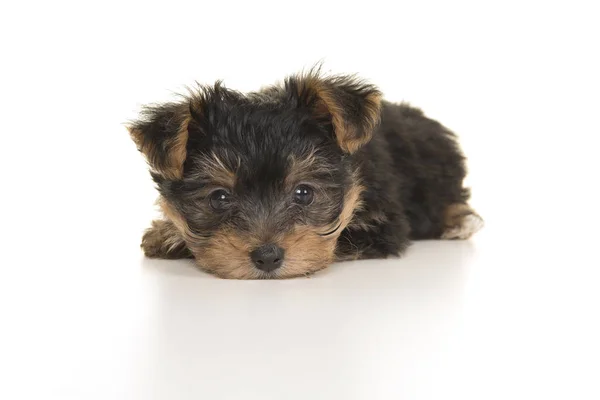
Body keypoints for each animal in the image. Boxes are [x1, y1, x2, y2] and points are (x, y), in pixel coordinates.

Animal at [127, 69, 482, 280]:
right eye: (219, 198)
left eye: (304, 193)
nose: (267, 257)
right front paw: (166, 233)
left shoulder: (384, 223)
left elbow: (339, 239)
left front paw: (170, 237)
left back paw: (459, 221)